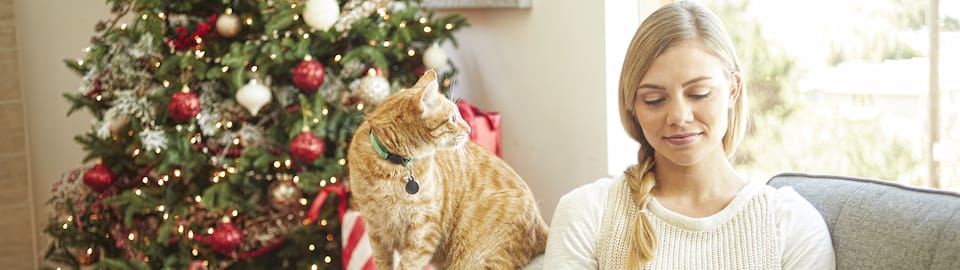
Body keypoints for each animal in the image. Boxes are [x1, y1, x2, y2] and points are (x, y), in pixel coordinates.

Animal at [348, 70, 552, 270]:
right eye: (453, 118)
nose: (469, 130)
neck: (394, 166)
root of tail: (542, 225)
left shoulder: (425, 230)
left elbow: (409, 263)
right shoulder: (376, 231)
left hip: (471, 258)